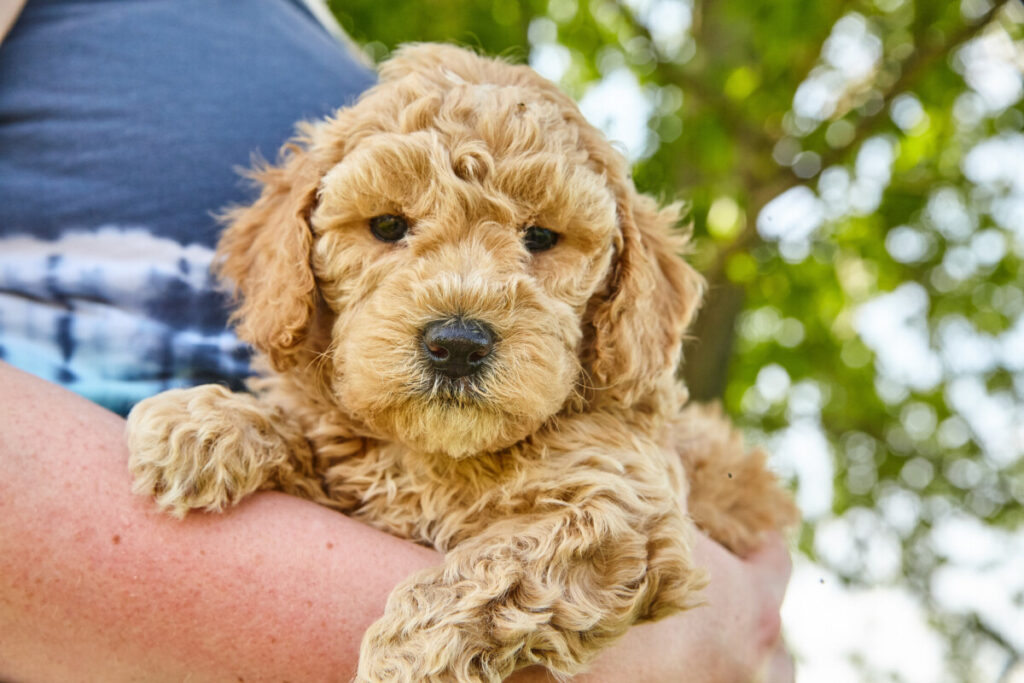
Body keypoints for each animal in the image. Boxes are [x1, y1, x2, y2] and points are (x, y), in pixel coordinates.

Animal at [128, 44, 794, 683]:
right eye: (388, 225)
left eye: (541, 238)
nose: (457, 344)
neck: (439, 459)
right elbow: (313, 432)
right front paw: (205, 424)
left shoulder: (623, 502)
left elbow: (501, 565)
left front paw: (402, 659)